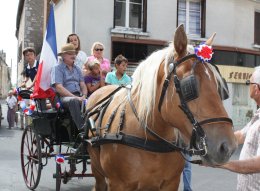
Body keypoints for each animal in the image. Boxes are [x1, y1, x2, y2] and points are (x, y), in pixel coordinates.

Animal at [85, 24, 238, 190]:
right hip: (98, 172)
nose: (227, 147)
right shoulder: (118, 184)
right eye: (189, 86)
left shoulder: (170, 183)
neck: (149, 138)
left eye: (219, 87)